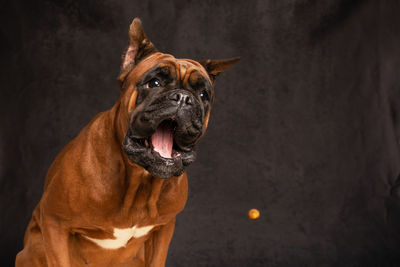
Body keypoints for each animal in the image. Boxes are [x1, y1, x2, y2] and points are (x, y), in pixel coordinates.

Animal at [15, 17, 239, 266]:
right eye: (154, 83)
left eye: (202, 95)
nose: (183, 98)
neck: (139, 179)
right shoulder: (55, 222)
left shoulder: (163, 230)